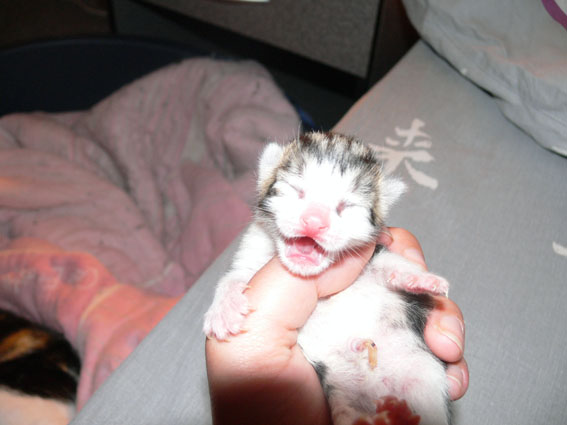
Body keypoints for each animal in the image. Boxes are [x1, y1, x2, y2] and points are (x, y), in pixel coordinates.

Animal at [205, 131, 452, 422]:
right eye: (297, 191)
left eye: (346, 206)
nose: (314, 221)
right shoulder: (252, 248)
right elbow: (234, 277)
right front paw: (224, 310)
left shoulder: (371, 256)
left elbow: (390, 263)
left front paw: (420, 279)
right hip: (338, 381)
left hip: (425, 372)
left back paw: (399, 413)